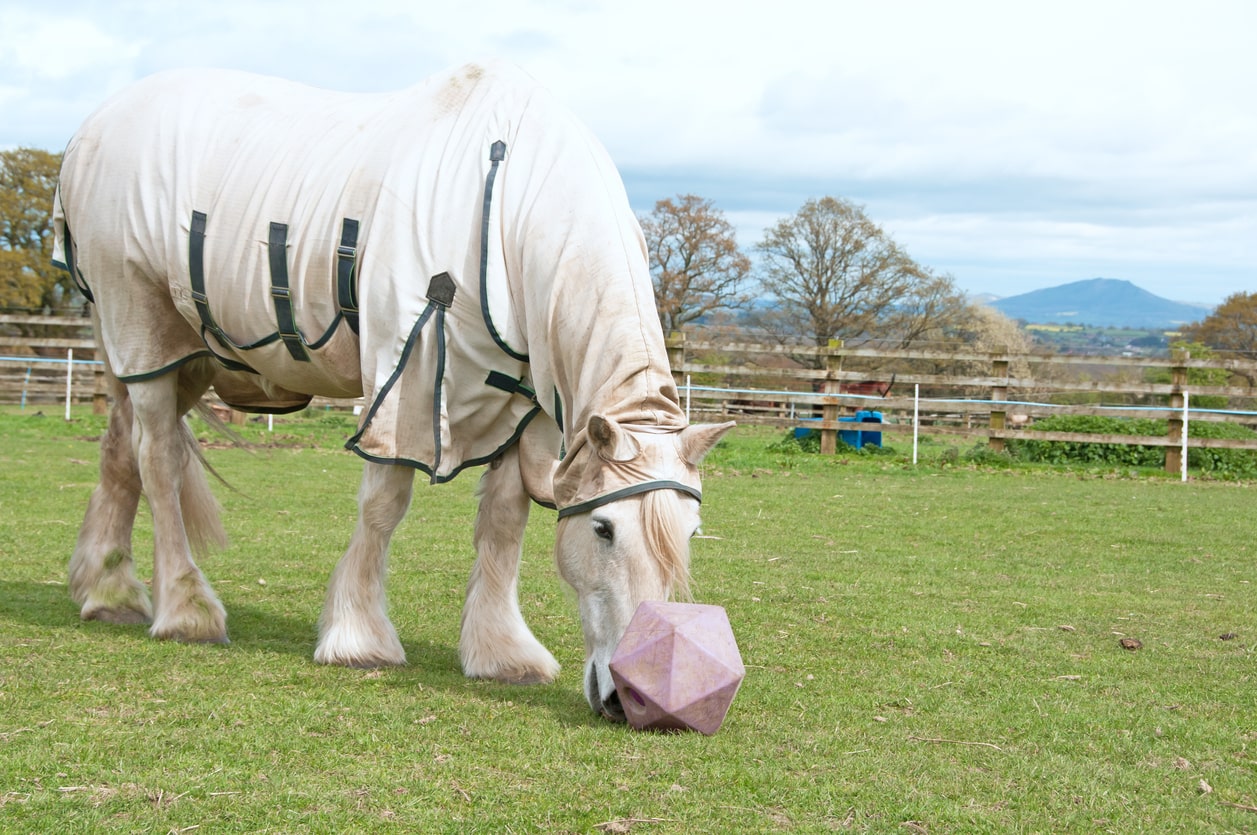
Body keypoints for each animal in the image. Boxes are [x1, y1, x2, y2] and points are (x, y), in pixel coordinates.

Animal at [51, 61, 734, 721]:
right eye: (604, 530)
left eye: (692, 533)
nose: (633, 700)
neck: (501, 207)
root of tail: (90, 130)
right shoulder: (404, 370)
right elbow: (384, 505)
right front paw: (359, 637)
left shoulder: (525, 411)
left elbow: (504, 521)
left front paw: (501, 652)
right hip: (141, 325)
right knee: (159, 461)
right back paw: (185, 608)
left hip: (177, 356)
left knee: (122, 450)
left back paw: (108, 592)